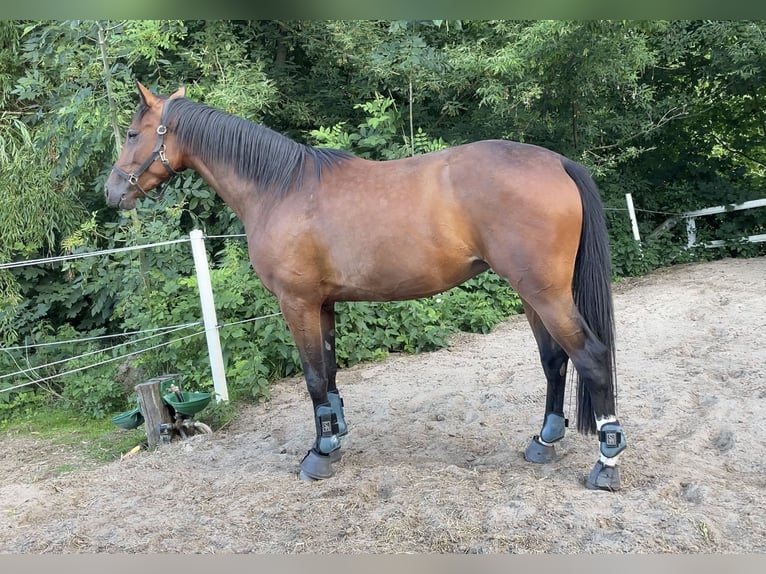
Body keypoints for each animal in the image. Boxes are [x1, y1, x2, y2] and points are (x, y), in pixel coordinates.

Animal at [105, 83, 628, 492]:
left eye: (132, 134)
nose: (111, 192)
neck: (280, 188)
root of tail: (557, 162)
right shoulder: (324, 303)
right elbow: (330, 375)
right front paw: (334, 439)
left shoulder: (296, 303)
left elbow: (314, 378)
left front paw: (319, 455)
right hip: (533, 294)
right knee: (555, 360)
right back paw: (545, 441)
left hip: (546, 294)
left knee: (591, 357)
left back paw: (607, 462)